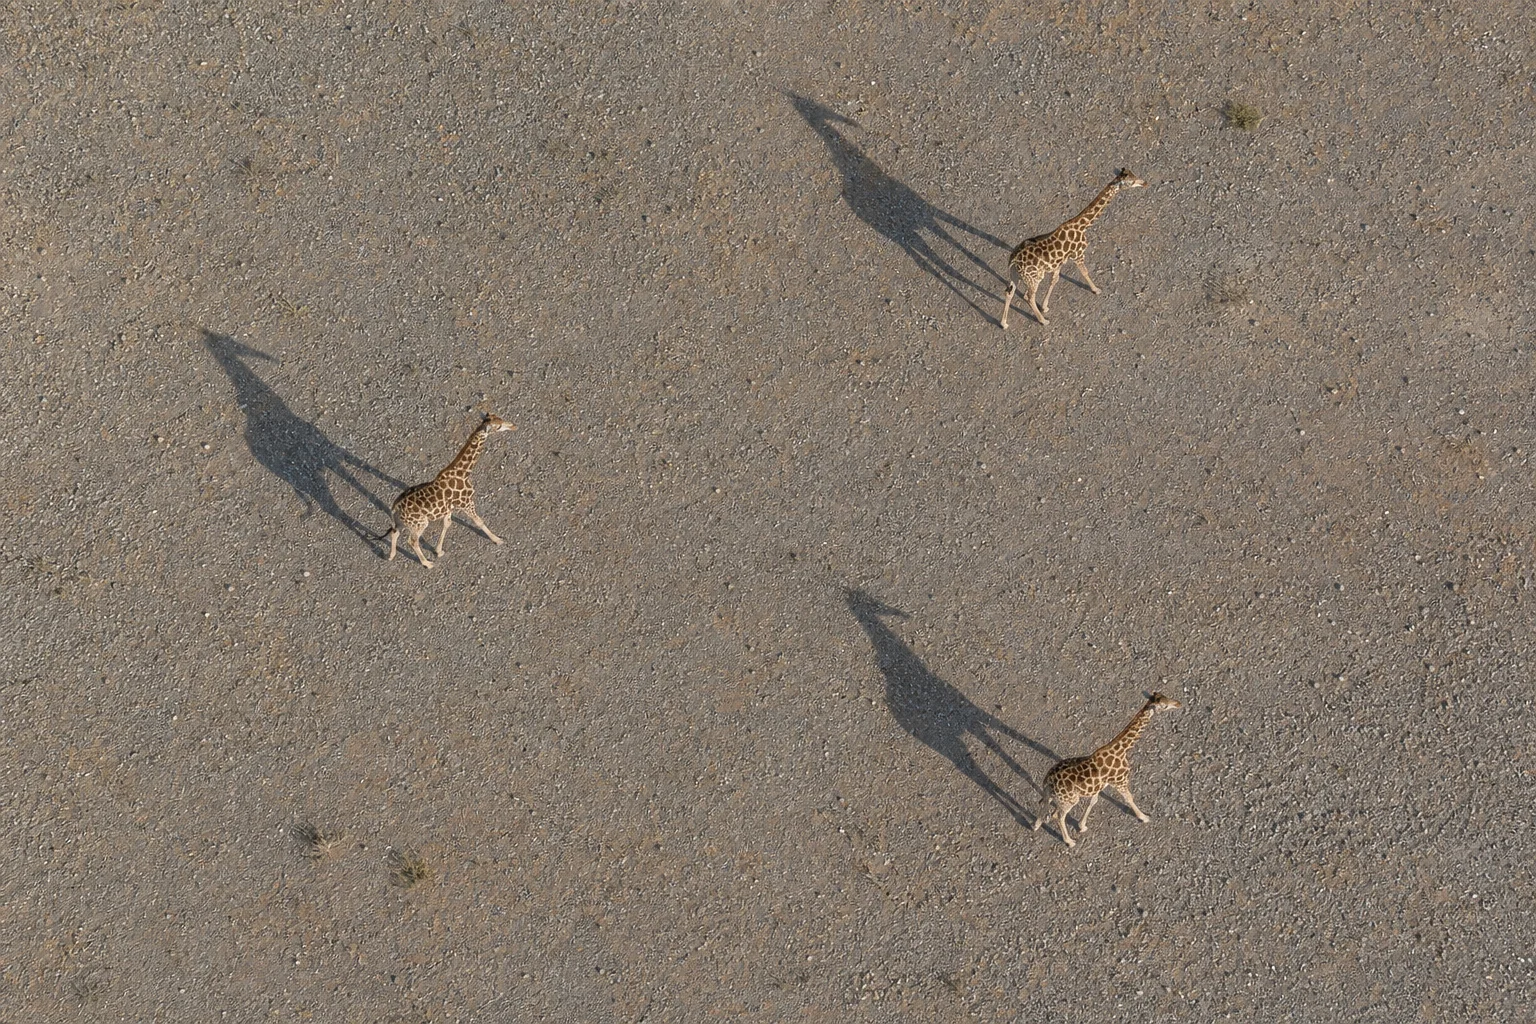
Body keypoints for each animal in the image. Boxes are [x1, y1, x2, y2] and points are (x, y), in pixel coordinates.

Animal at [384, 413, 516, 567]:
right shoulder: (466, 502)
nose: (513, 426)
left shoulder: (449, 508)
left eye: (499, 418)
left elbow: (447, 524)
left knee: (395, 533)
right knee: (412, 541)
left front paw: (438, 551)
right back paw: (427, 563)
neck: (464, 472)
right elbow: (479, 522)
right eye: (498, 426)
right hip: (420, 523)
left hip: (402, 522)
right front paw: (497, 540)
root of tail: (395, 507)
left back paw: (391, 556)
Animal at [1000, 168, 1146, 329]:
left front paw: (1044, 306)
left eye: (1135, 175)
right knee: (1028, 297)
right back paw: (1043, 321)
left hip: (1015, 274)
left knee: (1009, 292)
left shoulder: (1060, 262)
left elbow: (1055, 280)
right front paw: (1096, 289)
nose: (1145, 183)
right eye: (1131, 181)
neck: (1083, 225)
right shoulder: (1078, 254)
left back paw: (1004, 323)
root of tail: (1013, 260)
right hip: (1034, 278)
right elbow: (1085, 272)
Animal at [1032, 691, 1181, 847]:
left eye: (1166, 696)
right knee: (1058, 815)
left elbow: (1093, 801)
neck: (1123, 750)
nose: (1178, 704)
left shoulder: (1100, 786)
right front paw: (1144, 817)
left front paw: (1081, 826)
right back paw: (1069, 842)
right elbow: (1129, 798)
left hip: (1054, 794)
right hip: (1070, 800)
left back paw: (1036, 825)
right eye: (1164, 705)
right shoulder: (1120, 781)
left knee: (1044, 803)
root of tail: (1048, 779)